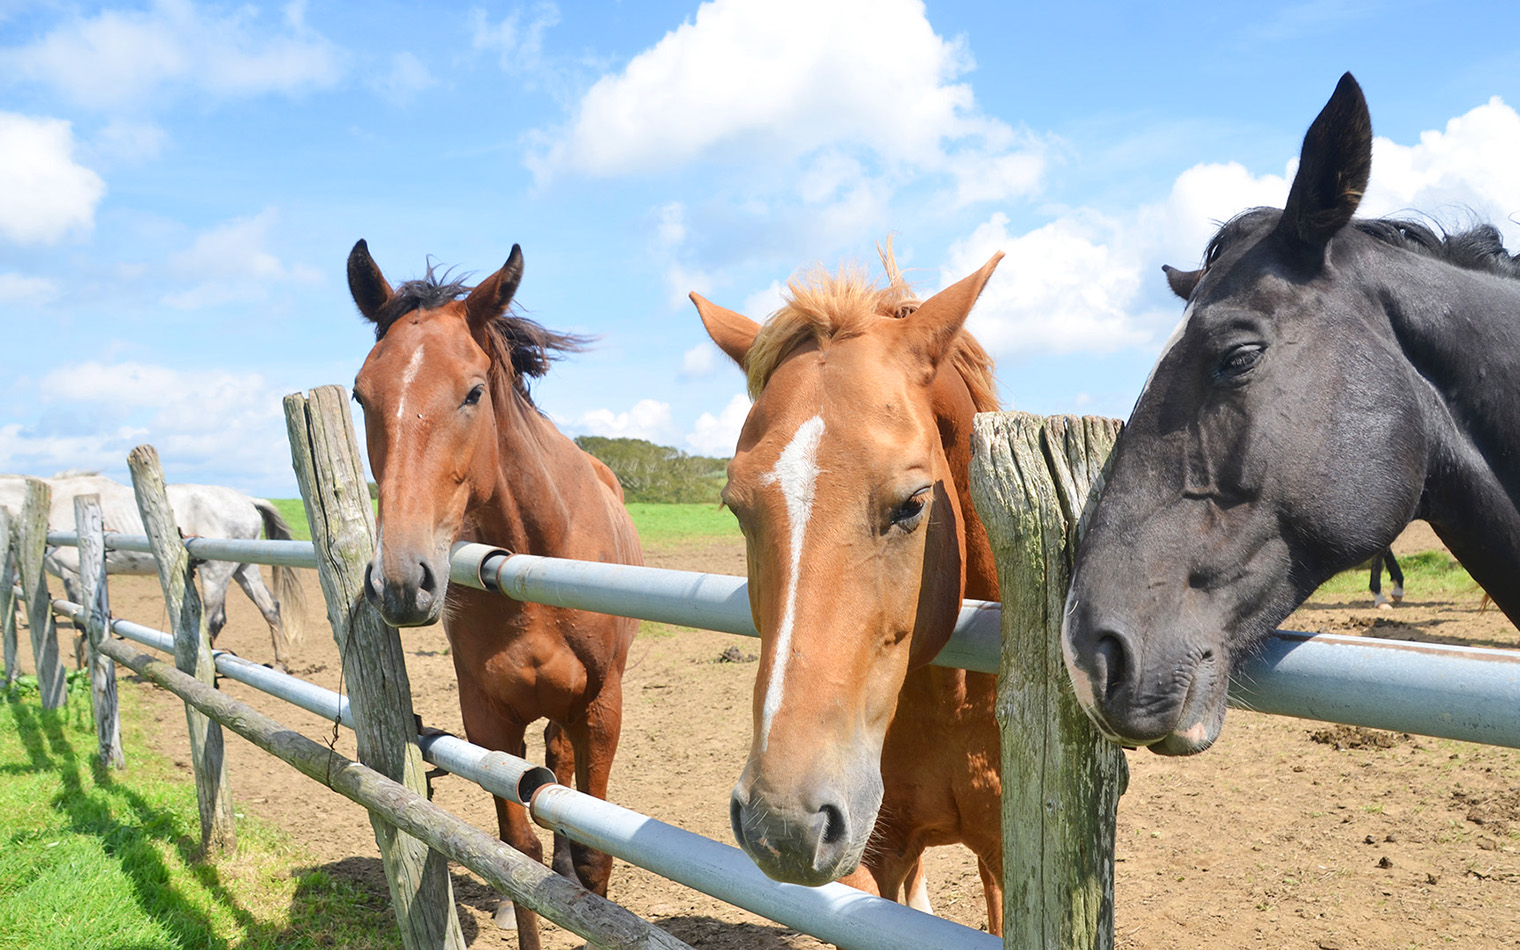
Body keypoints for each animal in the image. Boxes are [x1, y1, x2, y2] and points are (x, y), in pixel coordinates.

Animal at [0, 471, 308, 665]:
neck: (57, 503)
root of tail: (247, 501)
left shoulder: (72, 576)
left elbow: (81, 623)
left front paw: (86, 664)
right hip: (244, 568)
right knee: (270, 607)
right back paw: (281, 663)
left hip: (217, 571)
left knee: (215, 618)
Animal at [348, 238, 641, 948]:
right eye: (361, 396)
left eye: (473, 392)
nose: (401, 581)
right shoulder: (487, 715)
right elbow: (514, 852)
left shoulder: (602, 709)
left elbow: (594, 859)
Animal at [693, 244, 1003, 936]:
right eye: (736, 508)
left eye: (913, 503)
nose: (783, 822)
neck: (957, 699)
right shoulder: (874, 858)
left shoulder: (1009, 858)